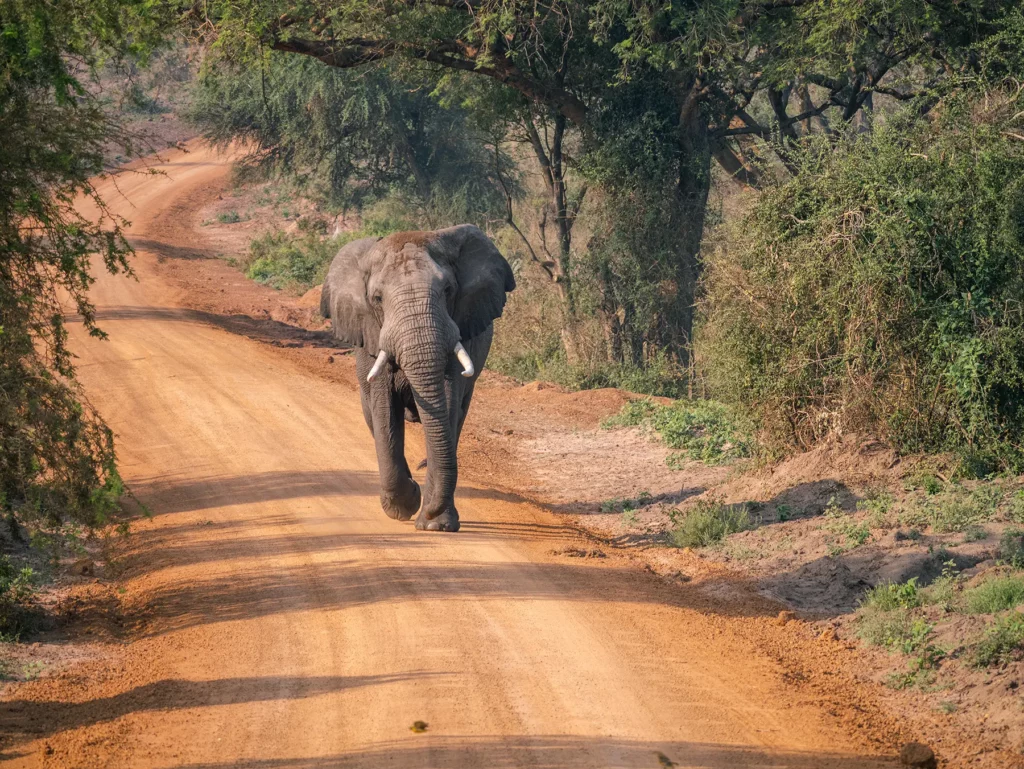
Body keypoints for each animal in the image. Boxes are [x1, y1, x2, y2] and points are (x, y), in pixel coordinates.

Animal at [320, 224, 516, 532]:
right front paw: (406, 504)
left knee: (456, 419)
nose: (427, 506)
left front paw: (436, 523)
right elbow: (384, 408)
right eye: (377, 299)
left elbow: (446, 399)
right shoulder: (372, 335)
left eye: (448, 290)